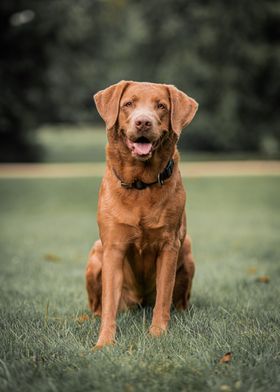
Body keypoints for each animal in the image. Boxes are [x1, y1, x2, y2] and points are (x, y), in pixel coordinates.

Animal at [86, 80, 198, 350]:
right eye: (128, 104)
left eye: (161, 106)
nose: (143, 122)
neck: (141, 184)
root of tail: (139, 303)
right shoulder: (113, 247)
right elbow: (108, 304)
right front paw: (104, 342)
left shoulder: (170, 244)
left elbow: (164, 297)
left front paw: (157, 333)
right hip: (96, 252)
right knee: (98, 306)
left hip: (187, 249)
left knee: (176, 301)